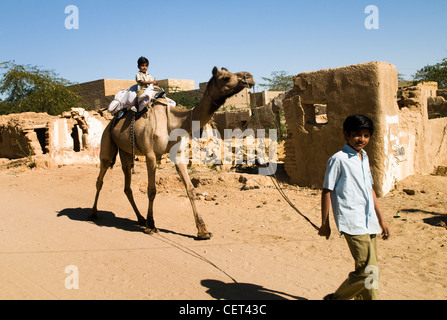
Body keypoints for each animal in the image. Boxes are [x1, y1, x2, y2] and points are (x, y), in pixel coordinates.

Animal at [91, 67, 256, 240]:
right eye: (225, 77)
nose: (249, 77)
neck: (174, 122)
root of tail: (112, 119)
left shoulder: (178, 154)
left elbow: (190, 189)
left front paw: (203, 230)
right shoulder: (150, 155)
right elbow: (152, 190)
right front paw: (151, 225)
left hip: (125, 150)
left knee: (127, 184)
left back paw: (140, 218)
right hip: (107, 140)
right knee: (100, 177)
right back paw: (93, 213)